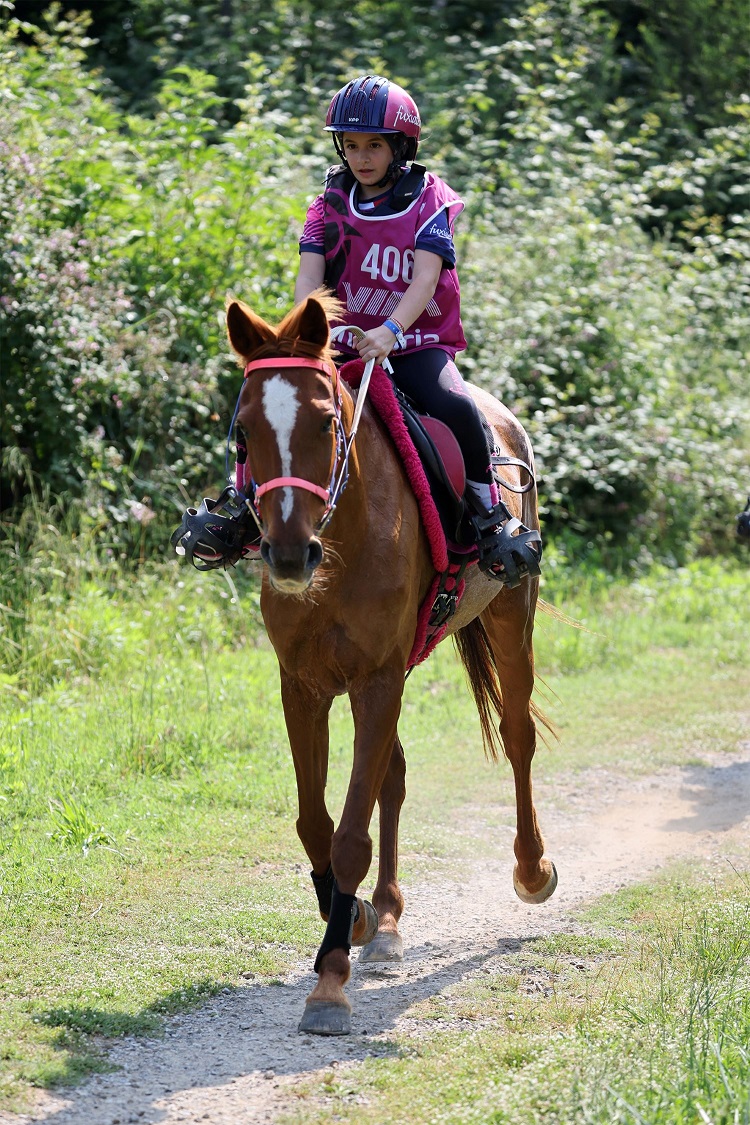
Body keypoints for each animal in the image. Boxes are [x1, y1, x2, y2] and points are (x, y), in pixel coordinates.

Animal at [218, 290, 556, 1035]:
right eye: (244, 430)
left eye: (324, 421)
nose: (290, 555)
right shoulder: (305, 684)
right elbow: (316, 821)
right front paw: (358, 918)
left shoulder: (374, 681)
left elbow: (349, 833)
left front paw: (330, 983)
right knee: (393, 777)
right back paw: (390, 919)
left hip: (510, 616)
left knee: (517, 735)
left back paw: (532, 868)